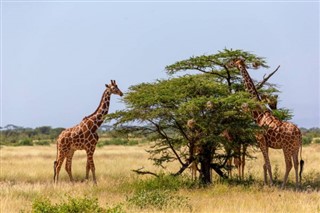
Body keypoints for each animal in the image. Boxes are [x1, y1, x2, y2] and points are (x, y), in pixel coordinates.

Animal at [231, 58, 304, 188]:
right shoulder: (266, 143)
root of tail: (299, 133)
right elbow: (265, 164)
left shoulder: (260, 140)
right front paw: (266, 183)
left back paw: (282, 186)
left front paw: (271, 183)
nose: (228, 64)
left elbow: (268, 164)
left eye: (233, 61)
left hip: (286, 147)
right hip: (295, 147)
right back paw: (297, 186)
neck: (258, 115)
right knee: (296, 164)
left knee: (289, 164)